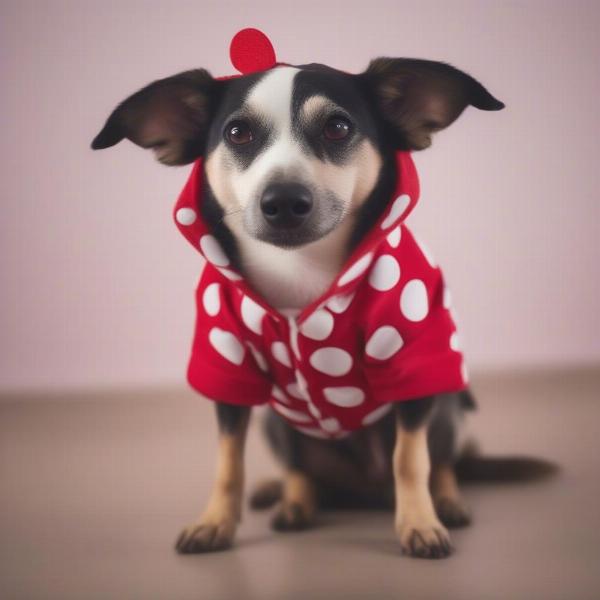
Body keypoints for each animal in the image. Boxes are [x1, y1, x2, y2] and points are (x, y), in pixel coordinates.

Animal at [94, 38, 506, 564]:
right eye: (237, 133)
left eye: (337, 126)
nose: (284, 200)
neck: (301, 277)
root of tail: (362, 490)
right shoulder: (227, 368)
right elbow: (227, 462)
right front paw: (214, 522)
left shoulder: (415, 365)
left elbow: (410, 459)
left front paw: (419, 522)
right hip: (277, 421)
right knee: (299, 468)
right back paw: (291, 500)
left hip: (449, 407)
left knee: (444, 461)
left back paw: (448, 501)